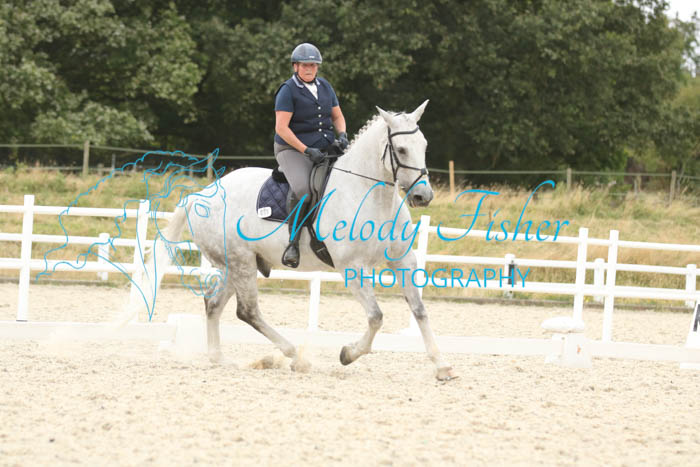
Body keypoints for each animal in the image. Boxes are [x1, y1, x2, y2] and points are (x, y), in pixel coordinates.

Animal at [139, 100, 456, 381]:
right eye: (401, 149)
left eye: (424, 145)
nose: (423, 196)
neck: (369, 194)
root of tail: (200, 195)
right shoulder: (352, 268)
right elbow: (376, 316)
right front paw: (347, 354)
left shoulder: (403, 260)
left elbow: (419, 310)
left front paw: (442, 366)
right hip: (240, 263)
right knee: (248, 311)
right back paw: (295, 356)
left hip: (237, 266)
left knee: (214, 304)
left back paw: (220, 358)